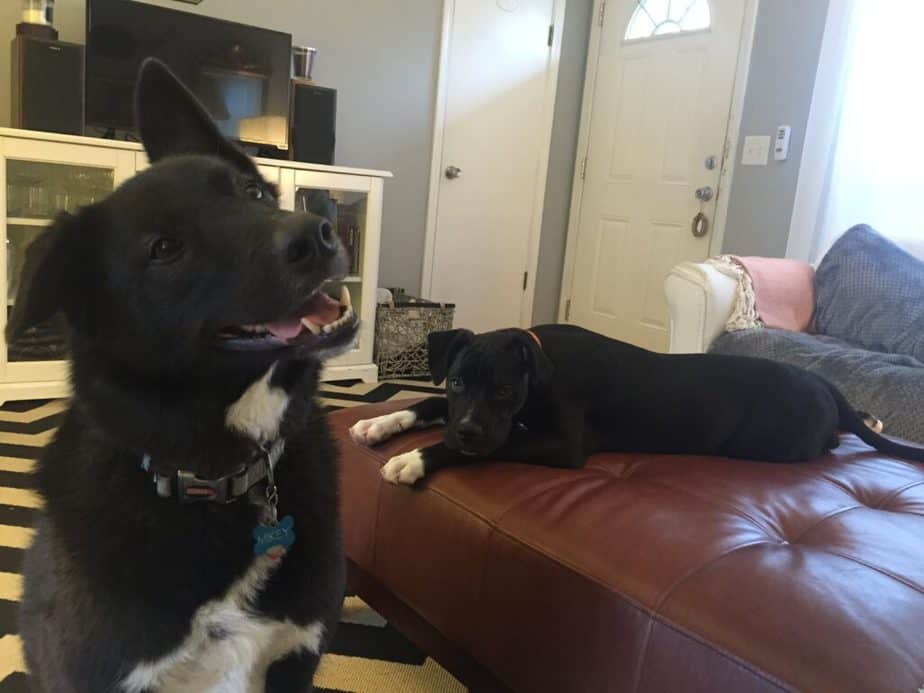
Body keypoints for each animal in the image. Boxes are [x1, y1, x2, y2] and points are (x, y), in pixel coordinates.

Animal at [350, 324, 920, 482]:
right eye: (455, 384)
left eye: (505, 392)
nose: (466, 431)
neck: (542, 365)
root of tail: (823, 384)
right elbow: (426, 408)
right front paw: (382, 424)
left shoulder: (563, 444)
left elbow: (497, 444)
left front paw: (413, 459)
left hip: (774, 441)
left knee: (831, 441)